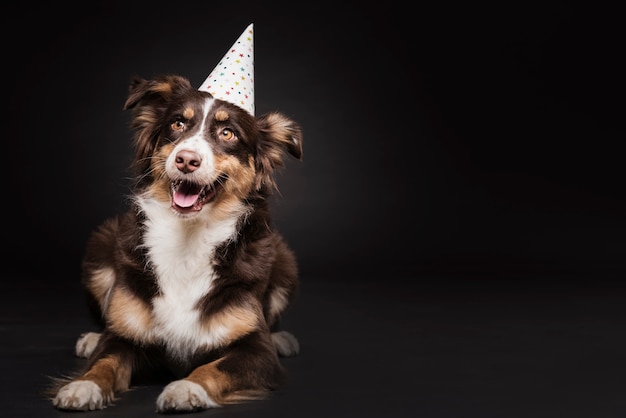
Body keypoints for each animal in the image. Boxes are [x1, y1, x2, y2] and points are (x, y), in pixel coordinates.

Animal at [49, 74, 302, 412]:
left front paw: (187, 388)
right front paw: (84, 385)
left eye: (228, 133)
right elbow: (105, 361)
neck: (188, 239)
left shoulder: (258, 353)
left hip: (286, 263)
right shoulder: (122, 339)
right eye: (178, 124)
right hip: (99, 249)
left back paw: (282, 339)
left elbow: (214, 367)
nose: (186, 160)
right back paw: (90, 339)